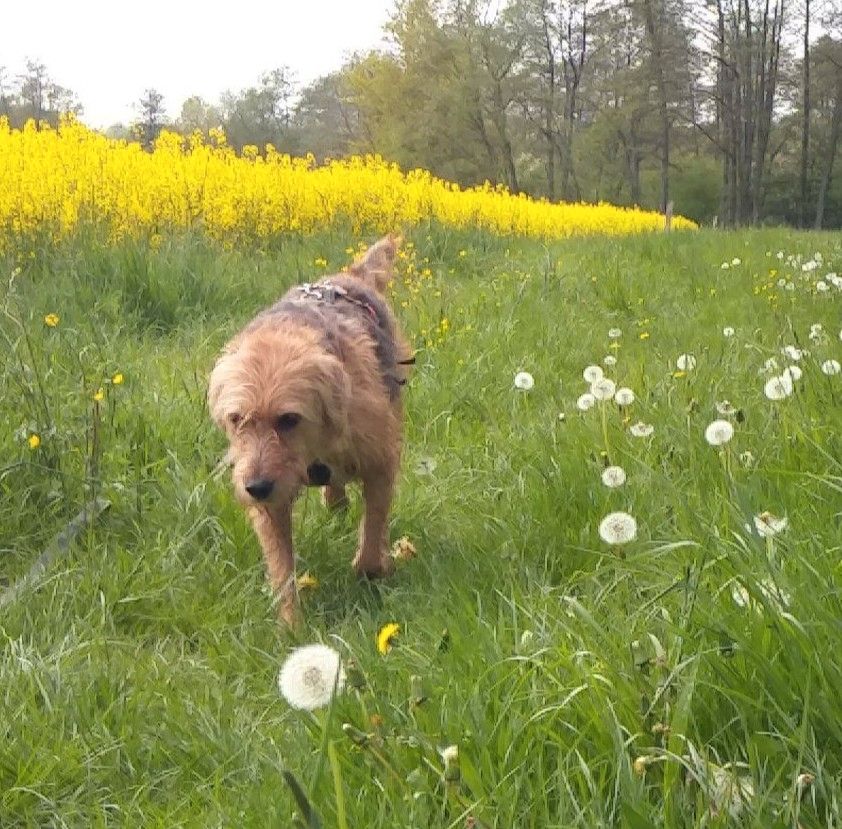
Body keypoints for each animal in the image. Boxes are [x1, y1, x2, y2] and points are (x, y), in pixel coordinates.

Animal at [207, 236, 410, 624]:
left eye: (289, 419)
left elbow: (373, 529)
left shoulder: (380, 459)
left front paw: (374, 565)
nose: (255, 488)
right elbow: (281, 566)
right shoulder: (271, 498)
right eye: (236, 419)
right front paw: (290, 623)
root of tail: (351, 277)